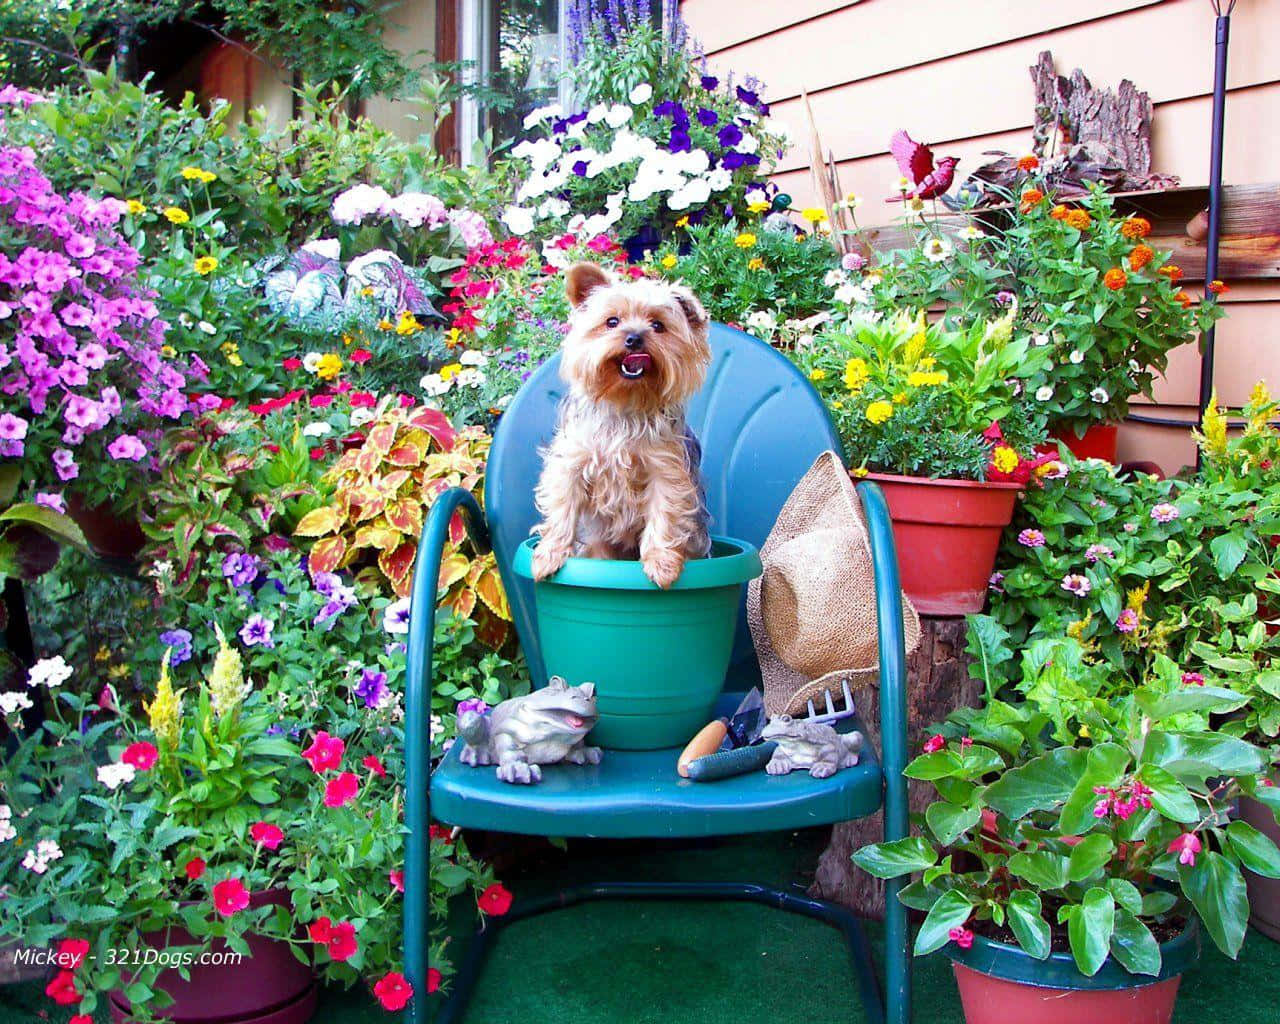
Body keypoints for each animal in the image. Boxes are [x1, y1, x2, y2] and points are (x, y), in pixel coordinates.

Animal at [527, 259, 716, 588]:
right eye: (612, 321)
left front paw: (662, 563)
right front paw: (548, 555)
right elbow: (562, 504)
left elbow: (664, 510)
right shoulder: (571, 461)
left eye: (658, 325)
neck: (626, 403)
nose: (634, 337)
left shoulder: (665, 468)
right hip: (598, 543)